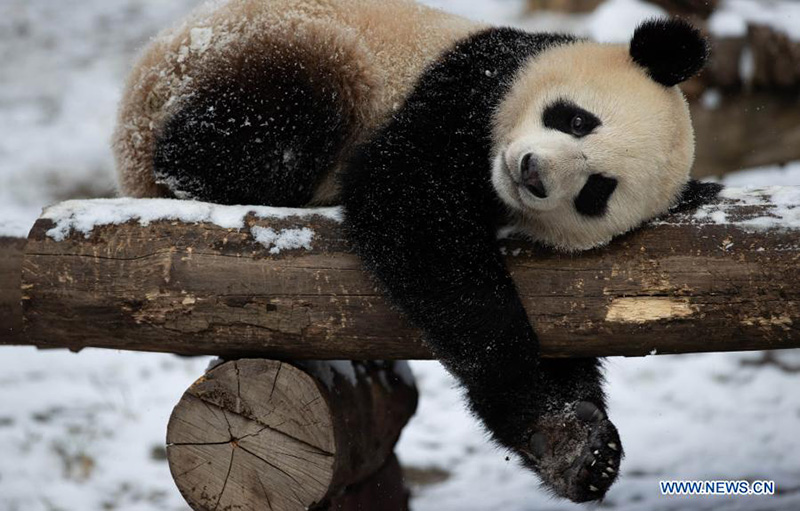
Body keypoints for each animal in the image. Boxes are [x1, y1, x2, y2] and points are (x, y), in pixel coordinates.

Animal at [114, 0, 720, 503]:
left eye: (597, 191)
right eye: (575, 119)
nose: (532, 173)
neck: (494, 186)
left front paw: (582, 452)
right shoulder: (466, 88)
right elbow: (410, 211)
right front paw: (552, 423)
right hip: (266, 53)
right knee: (263, 126)